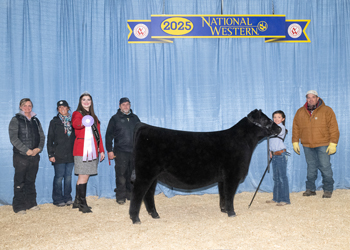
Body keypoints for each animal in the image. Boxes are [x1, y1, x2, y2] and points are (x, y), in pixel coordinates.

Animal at [129, 110, 282, 225]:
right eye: (266, 120)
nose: (280, 128)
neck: (243, 141)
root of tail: (143, 126)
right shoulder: (232, 175)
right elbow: (230, 195)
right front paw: (232, 213)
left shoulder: (223, 178)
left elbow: (223, 194)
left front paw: (224, 210)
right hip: (144, 174)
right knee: (137, 194)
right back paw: (135, 219)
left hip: (153, 175)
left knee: (148, 194)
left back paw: (154, 214)